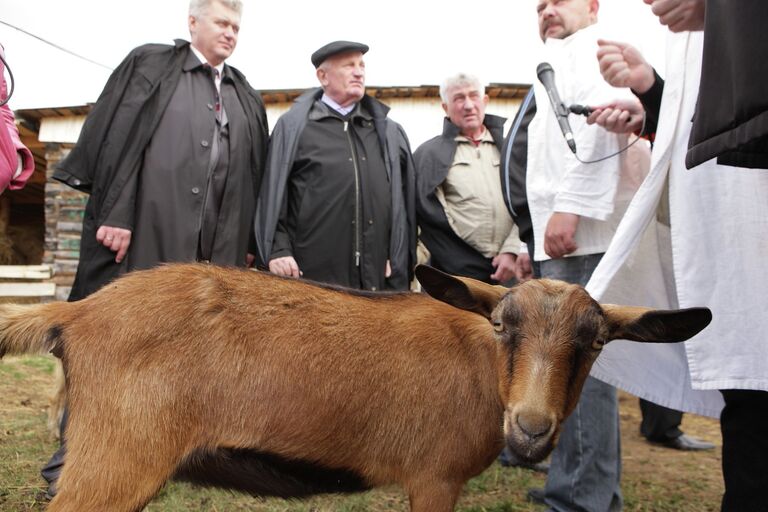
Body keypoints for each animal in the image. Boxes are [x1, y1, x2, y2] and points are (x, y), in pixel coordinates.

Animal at [0, 264, 712, 512]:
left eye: (594, 343)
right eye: (503, 325)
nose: (531, 429)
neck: (479, 366)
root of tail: (75, 315)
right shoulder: (435, 475)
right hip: (114, 459)